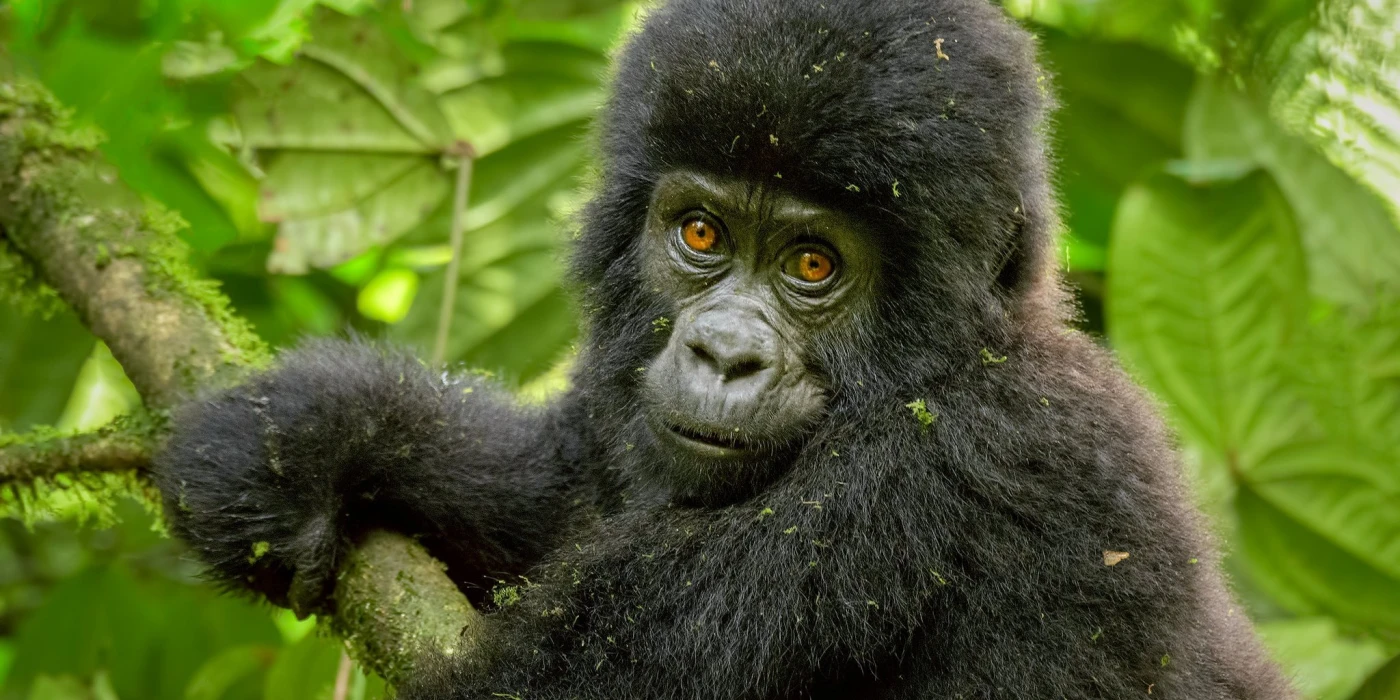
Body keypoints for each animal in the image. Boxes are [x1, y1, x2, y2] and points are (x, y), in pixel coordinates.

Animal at [153, 0, 1288, 694]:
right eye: (700, 235)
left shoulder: (973, 461)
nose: (725, 356)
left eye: (813, 264)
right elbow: (563, 486)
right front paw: (308, 432)